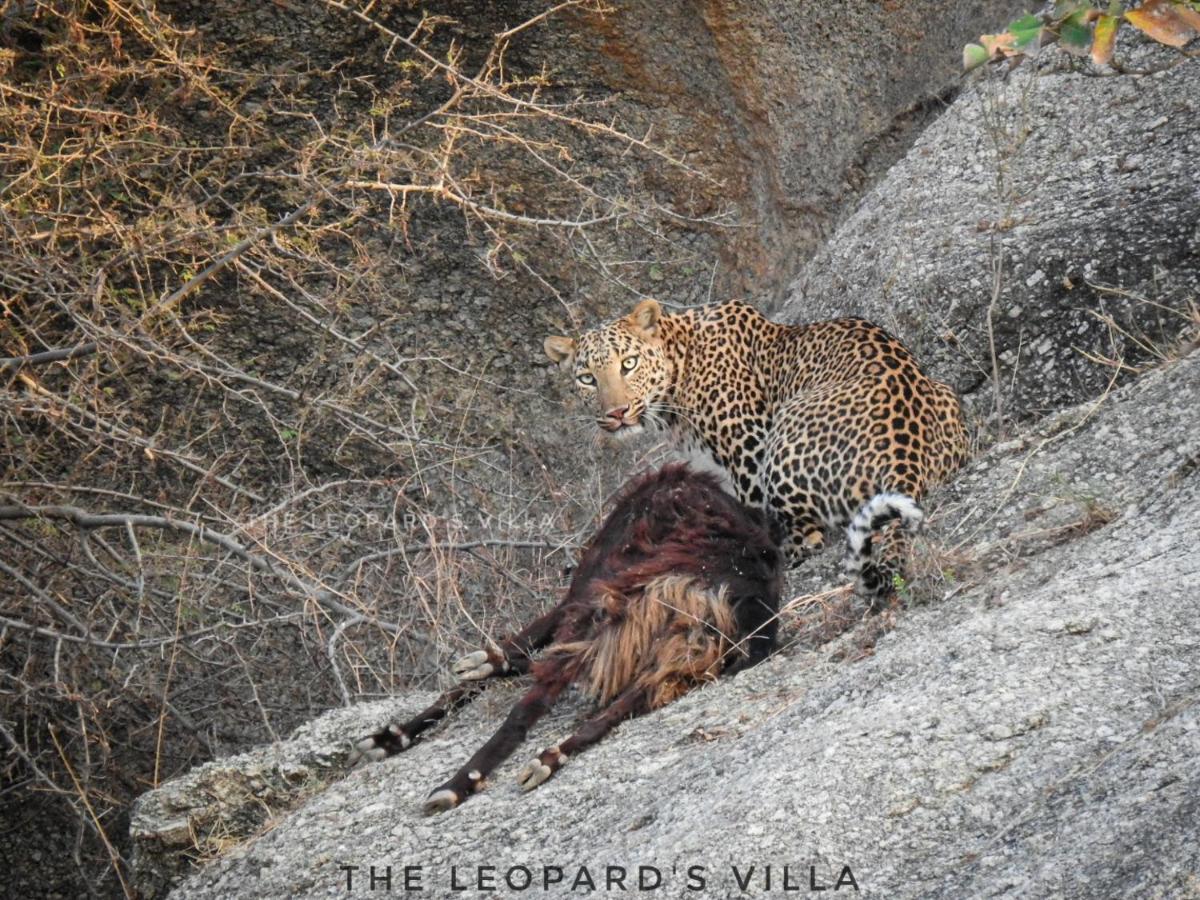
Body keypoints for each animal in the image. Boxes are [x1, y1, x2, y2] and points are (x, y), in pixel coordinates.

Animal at [549, 297, 969, 600]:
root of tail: (904, 455)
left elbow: (752, 517)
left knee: (809, 536)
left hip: (783, 432)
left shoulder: (747, 447)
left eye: (629, 363)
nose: (616, 413)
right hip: (947, 393)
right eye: (587, 379)